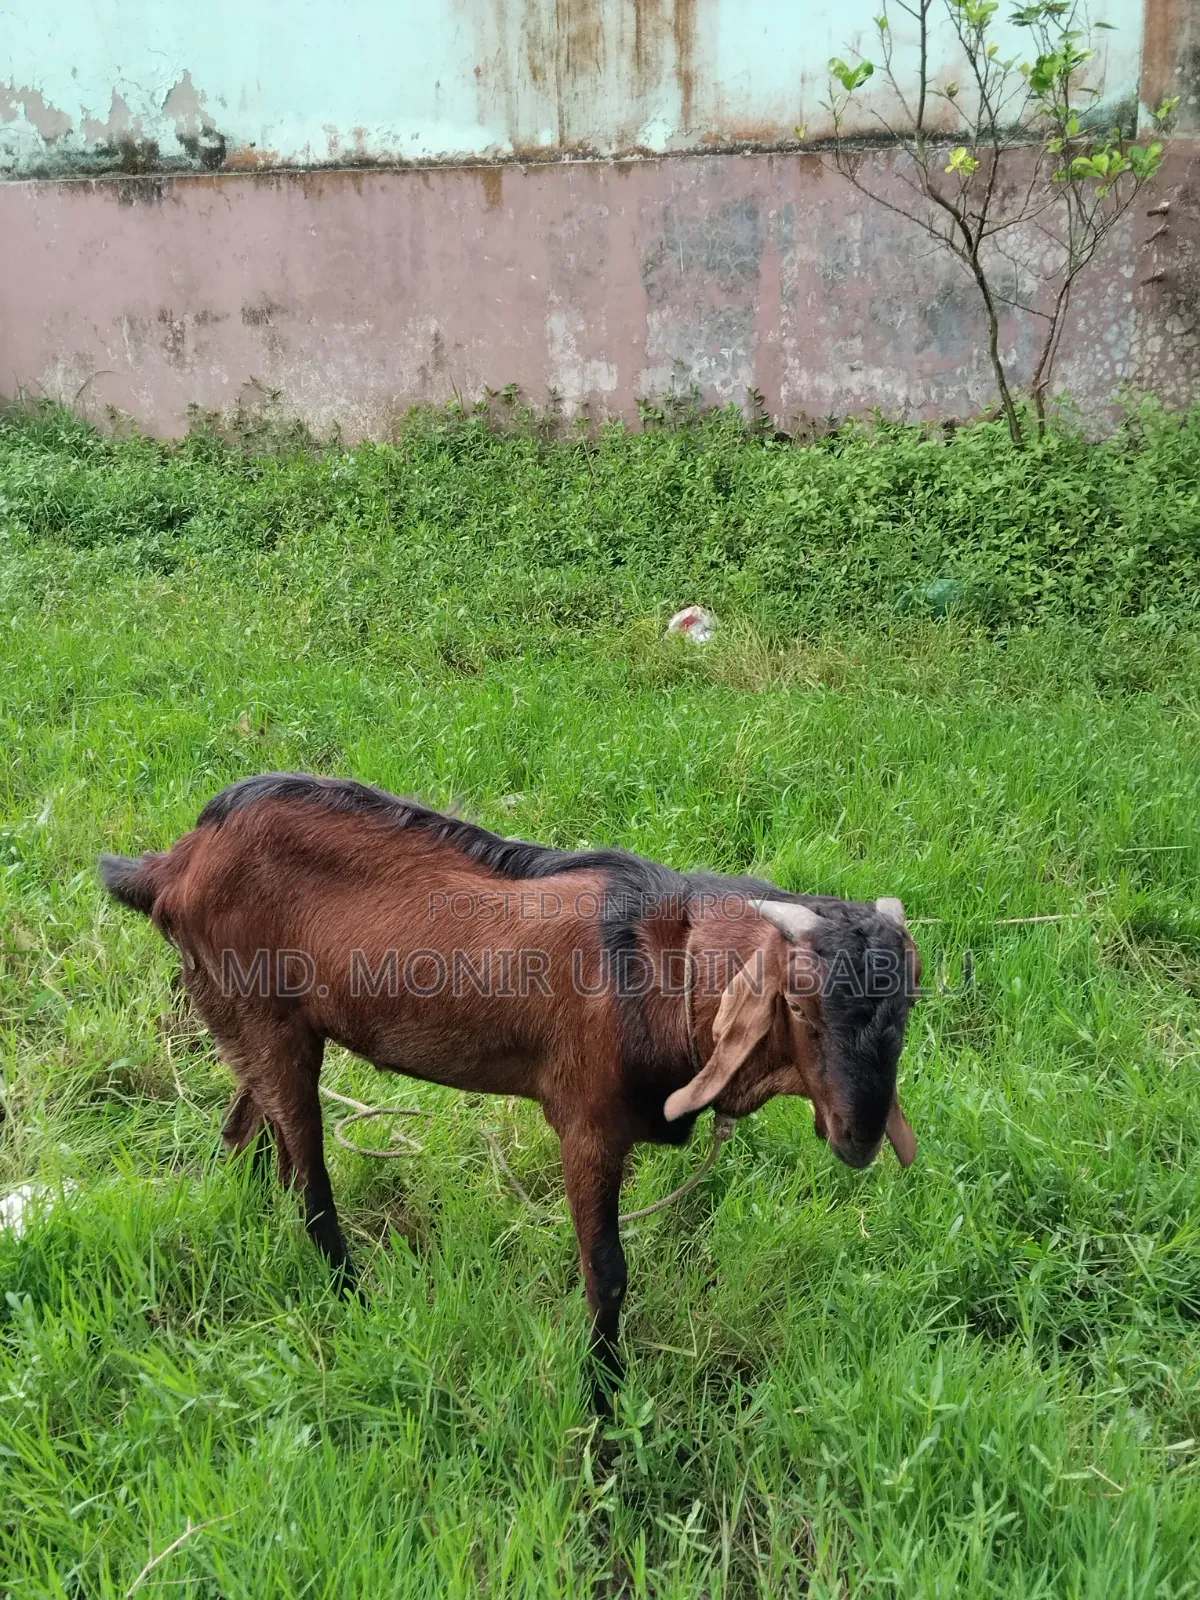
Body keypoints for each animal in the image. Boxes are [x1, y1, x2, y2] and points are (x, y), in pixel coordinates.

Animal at [100, 773, 920, 1412]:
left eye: (906, 1008)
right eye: (800, 1008)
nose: (859, 1135)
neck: (668, 970)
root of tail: (175, 863)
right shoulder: (587, 1122)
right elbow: (607, 1272)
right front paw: (603, 1400)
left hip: (260, 1020)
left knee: (247, 1125)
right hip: (263, 1015)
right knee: (308, 1173)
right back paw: (353, 1297)